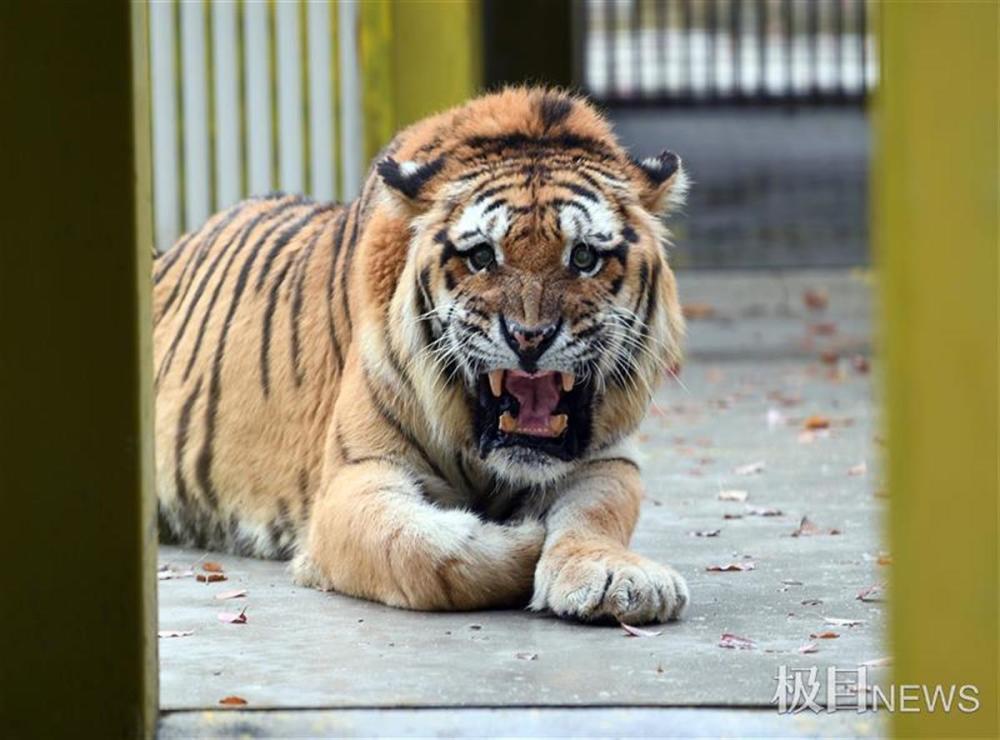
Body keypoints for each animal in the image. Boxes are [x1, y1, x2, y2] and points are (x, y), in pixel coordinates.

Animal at [154, 85, 688, 624]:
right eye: (482, 256)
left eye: (583, 257)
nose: (529, 336)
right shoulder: (354, 474)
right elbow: (425, 549)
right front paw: (527, 537)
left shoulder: (608, 460)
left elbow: (595, 515)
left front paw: (619, 578)